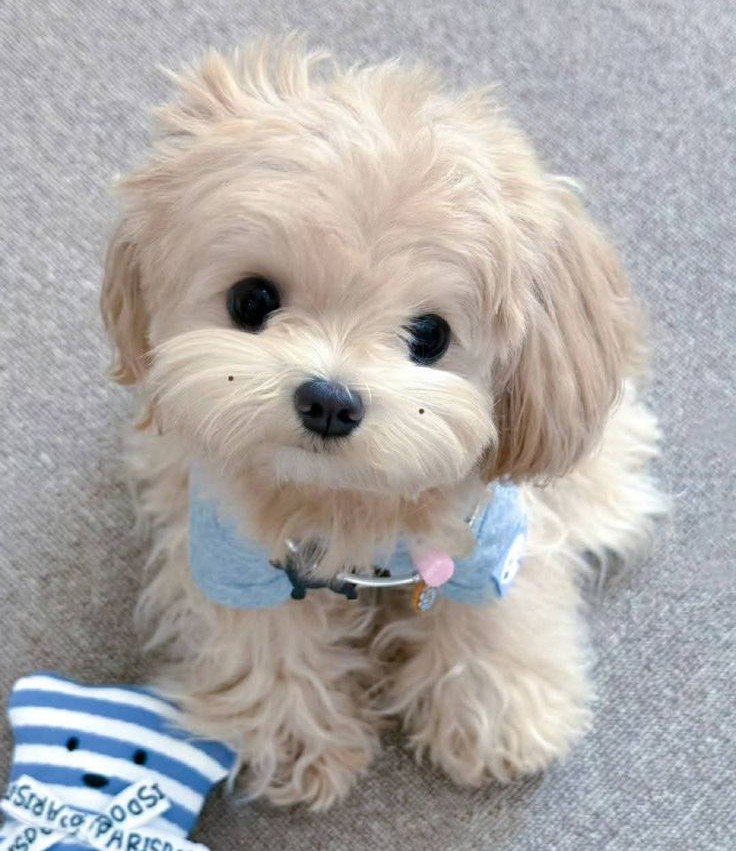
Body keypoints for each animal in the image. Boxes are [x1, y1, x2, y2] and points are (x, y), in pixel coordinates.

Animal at [100, 37, 665, 810]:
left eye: (430, 334)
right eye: (251, 300)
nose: (329, 400)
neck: (346, 498)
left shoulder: (489, 542)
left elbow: (495, 612)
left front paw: (495, 709)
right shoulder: (228, 551)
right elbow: (263, 634)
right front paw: (293, 731)